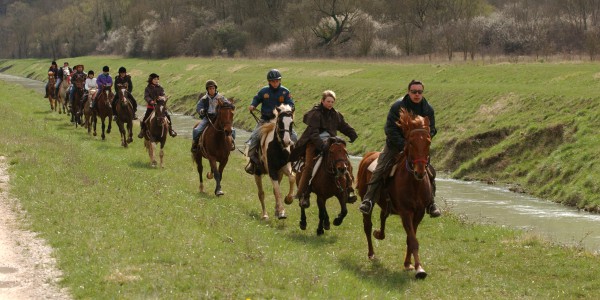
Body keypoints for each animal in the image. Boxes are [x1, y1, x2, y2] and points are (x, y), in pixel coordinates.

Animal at [354, 108, 434, 278]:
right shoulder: (406, 212)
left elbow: (411, 238)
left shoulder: (419, 213)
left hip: (386, 204)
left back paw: (379, 234)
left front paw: (408, 263)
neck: (414, 183)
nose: (419, 172)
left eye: (428, 142)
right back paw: (371, 253)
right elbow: (413, 240)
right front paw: (419, 269)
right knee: (367, 225)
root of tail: (368, 155)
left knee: (383, 216)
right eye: (411, 142)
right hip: (366, 200)